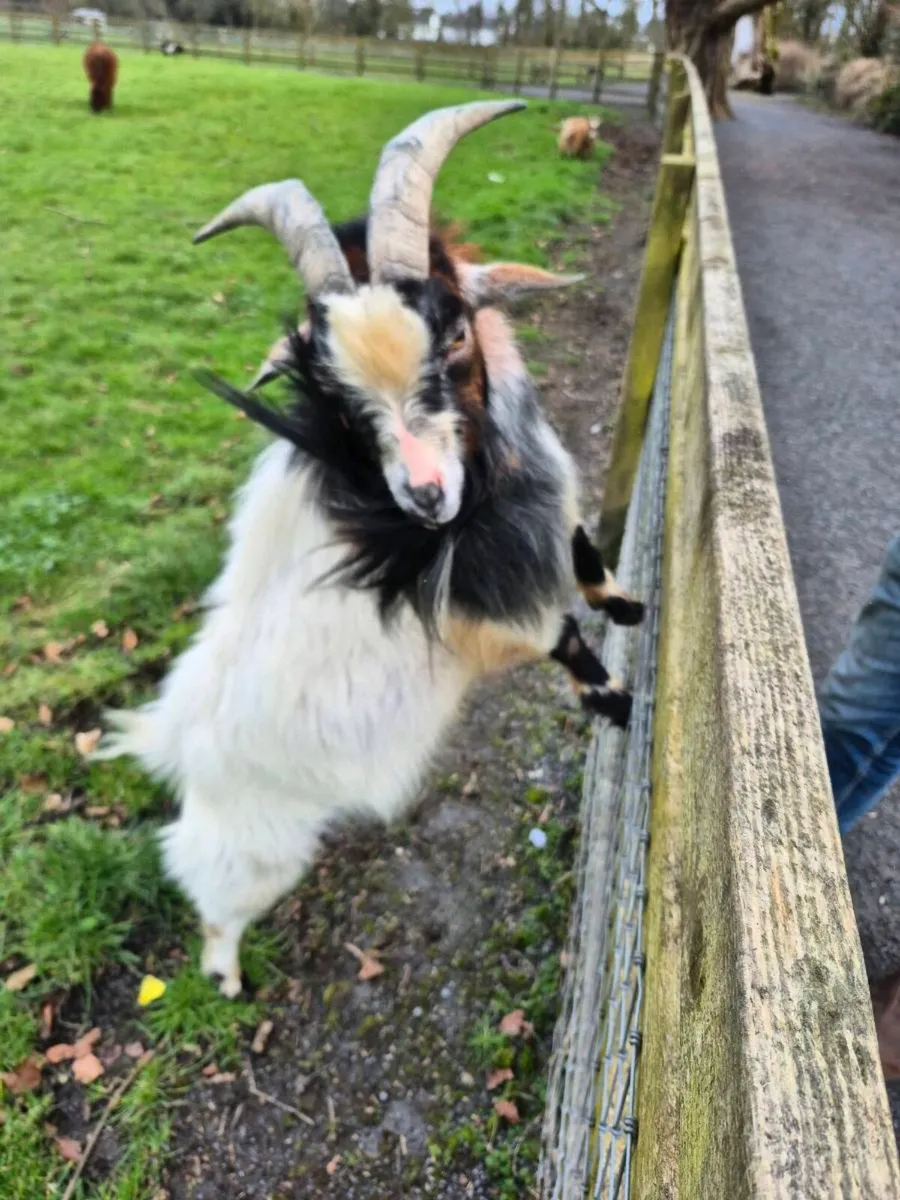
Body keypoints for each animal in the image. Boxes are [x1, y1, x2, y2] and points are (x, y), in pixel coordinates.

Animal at [94, 101, 644, 998]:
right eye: (334, 390)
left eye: (455, 332)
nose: (424, 497)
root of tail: (178, 744)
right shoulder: (488, 626)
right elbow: (564, 639)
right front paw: (617, 702)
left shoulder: (545, 516)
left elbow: (582, 548)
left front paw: (624, 602)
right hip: (254, 850)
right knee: (211, 898)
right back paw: (227, 978)